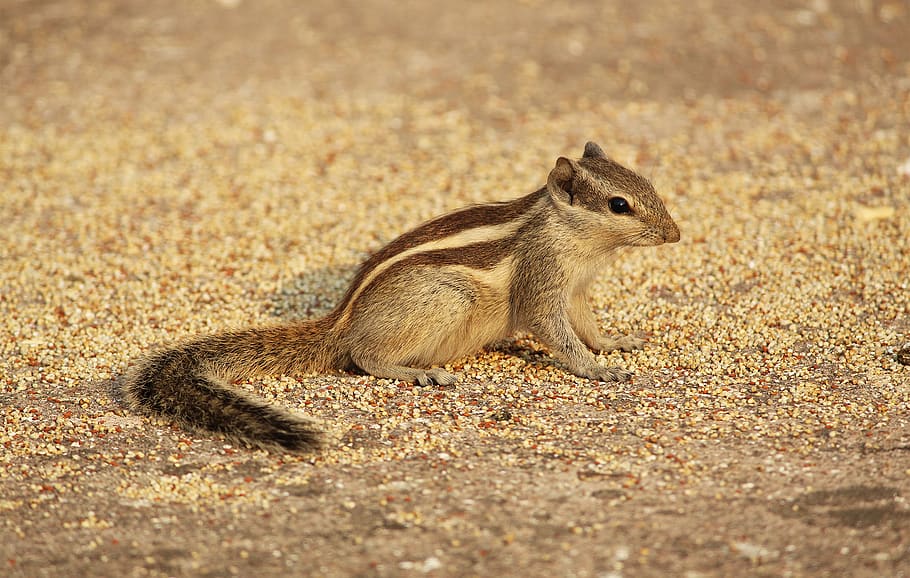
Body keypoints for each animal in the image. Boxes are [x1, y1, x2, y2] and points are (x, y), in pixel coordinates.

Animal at [121, 142, 681, 453]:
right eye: (619, 205)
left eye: (648, 183)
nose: (675, 235)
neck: (571, 235)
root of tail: (340, 323)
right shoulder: (543, 285)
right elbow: (557, 334)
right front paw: (597, 369)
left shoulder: (577, 290)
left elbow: (587, 324)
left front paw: (615, 344)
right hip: (444, 300)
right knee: (363, 357)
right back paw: (417, 372)